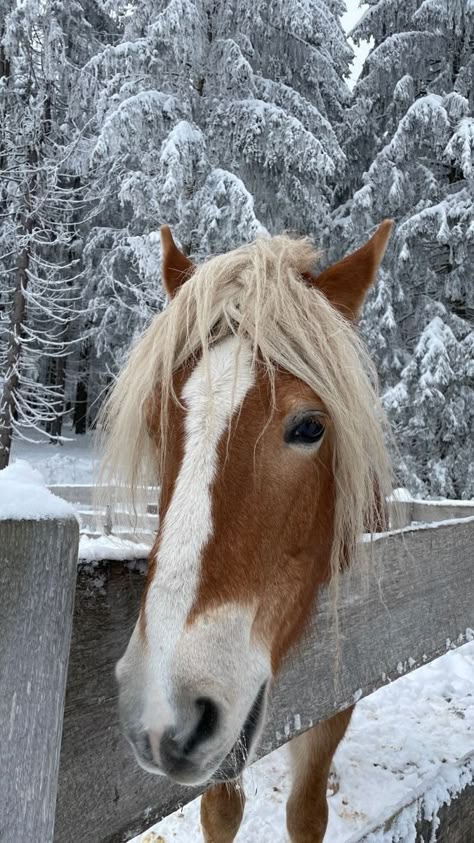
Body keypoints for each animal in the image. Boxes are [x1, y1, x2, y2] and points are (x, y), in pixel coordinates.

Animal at [100, 223, 392, 843]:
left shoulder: (343, 678)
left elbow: (307, 812)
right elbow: (221, 811)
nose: (163, 709)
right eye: (155, 422)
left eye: (309, 427)